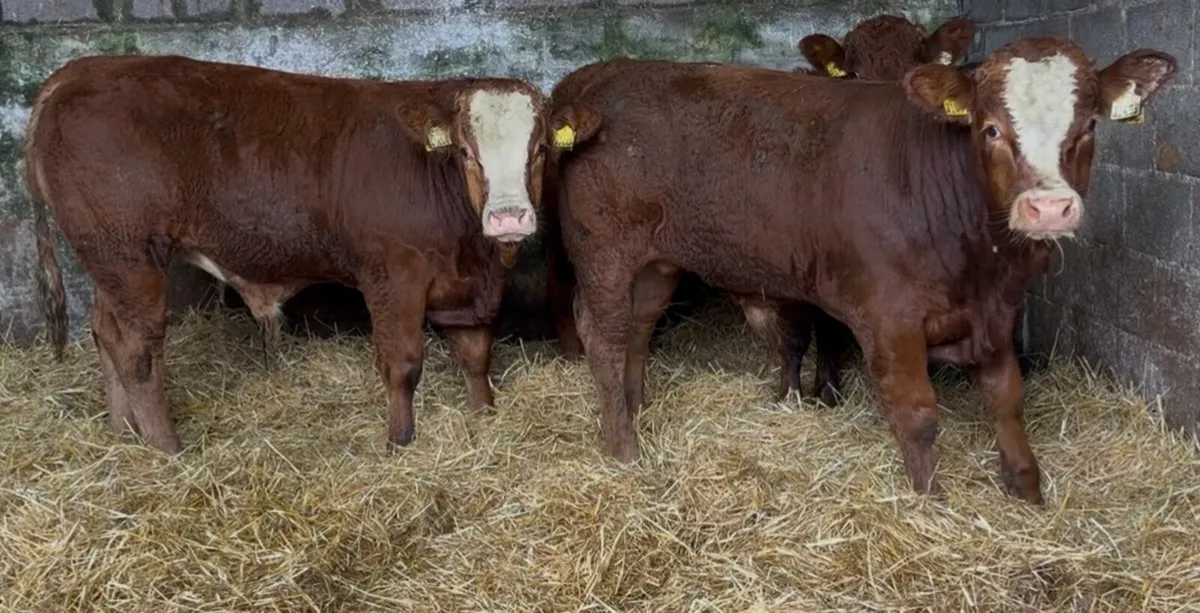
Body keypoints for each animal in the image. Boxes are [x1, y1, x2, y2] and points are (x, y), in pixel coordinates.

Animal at [26, 55, 592, 454]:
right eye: (468, 153)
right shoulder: (392, 276)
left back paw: (124, 433)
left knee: (106, 333)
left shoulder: (466, 287)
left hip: (108, 264)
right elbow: (403, 363)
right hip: (130, 258)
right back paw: (167, 449)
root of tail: (83, 69)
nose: (509, 218)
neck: (474, 252)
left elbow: (476, 355)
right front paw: (401, 442)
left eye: (540, 150)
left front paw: (483, 418)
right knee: (136, 352)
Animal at [548, 37, 1175, 503]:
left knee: (638, 327)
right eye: (991, 128)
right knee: (603, 335)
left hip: (656, 263)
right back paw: (623, 447)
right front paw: (930, 502)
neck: (982, 262)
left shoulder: (997, 311)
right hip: (605, 254)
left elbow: (1006, 395)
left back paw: (635, 407)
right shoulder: (889, 317)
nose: (1048, 208)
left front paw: (1027, 488)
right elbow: (917, 413)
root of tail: (598, 75)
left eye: (1088, 126)